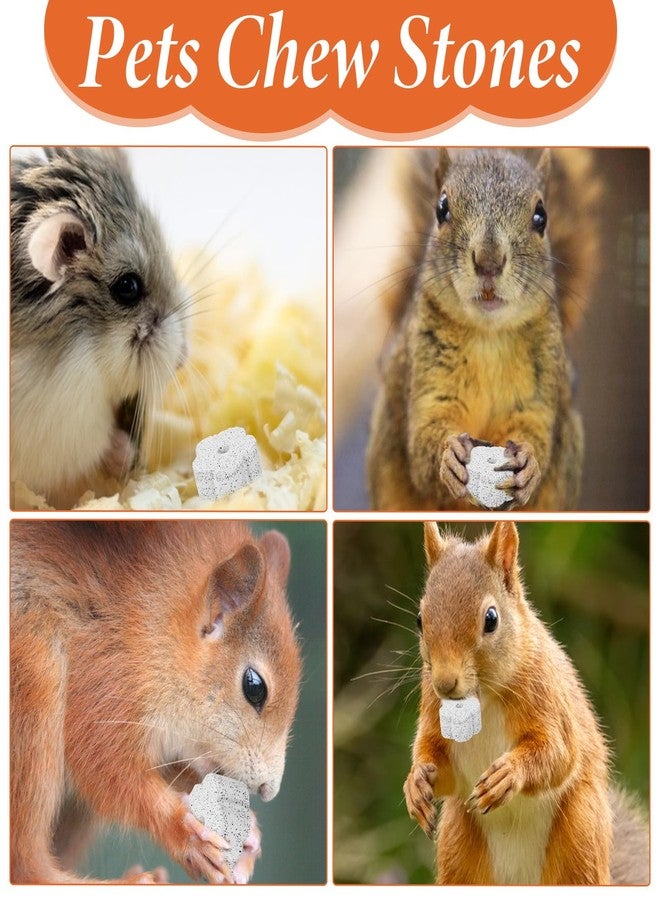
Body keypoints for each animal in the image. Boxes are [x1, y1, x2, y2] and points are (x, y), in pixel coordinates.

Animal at [10, 520, 302, 884]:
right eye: (254, 687)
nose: (267, 789)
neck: (152, 627)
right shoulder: (104, 677)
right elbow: (108, 769)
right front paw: (184, 832)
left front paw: (249, 835)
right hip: (32, 678)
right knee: (23, 865)